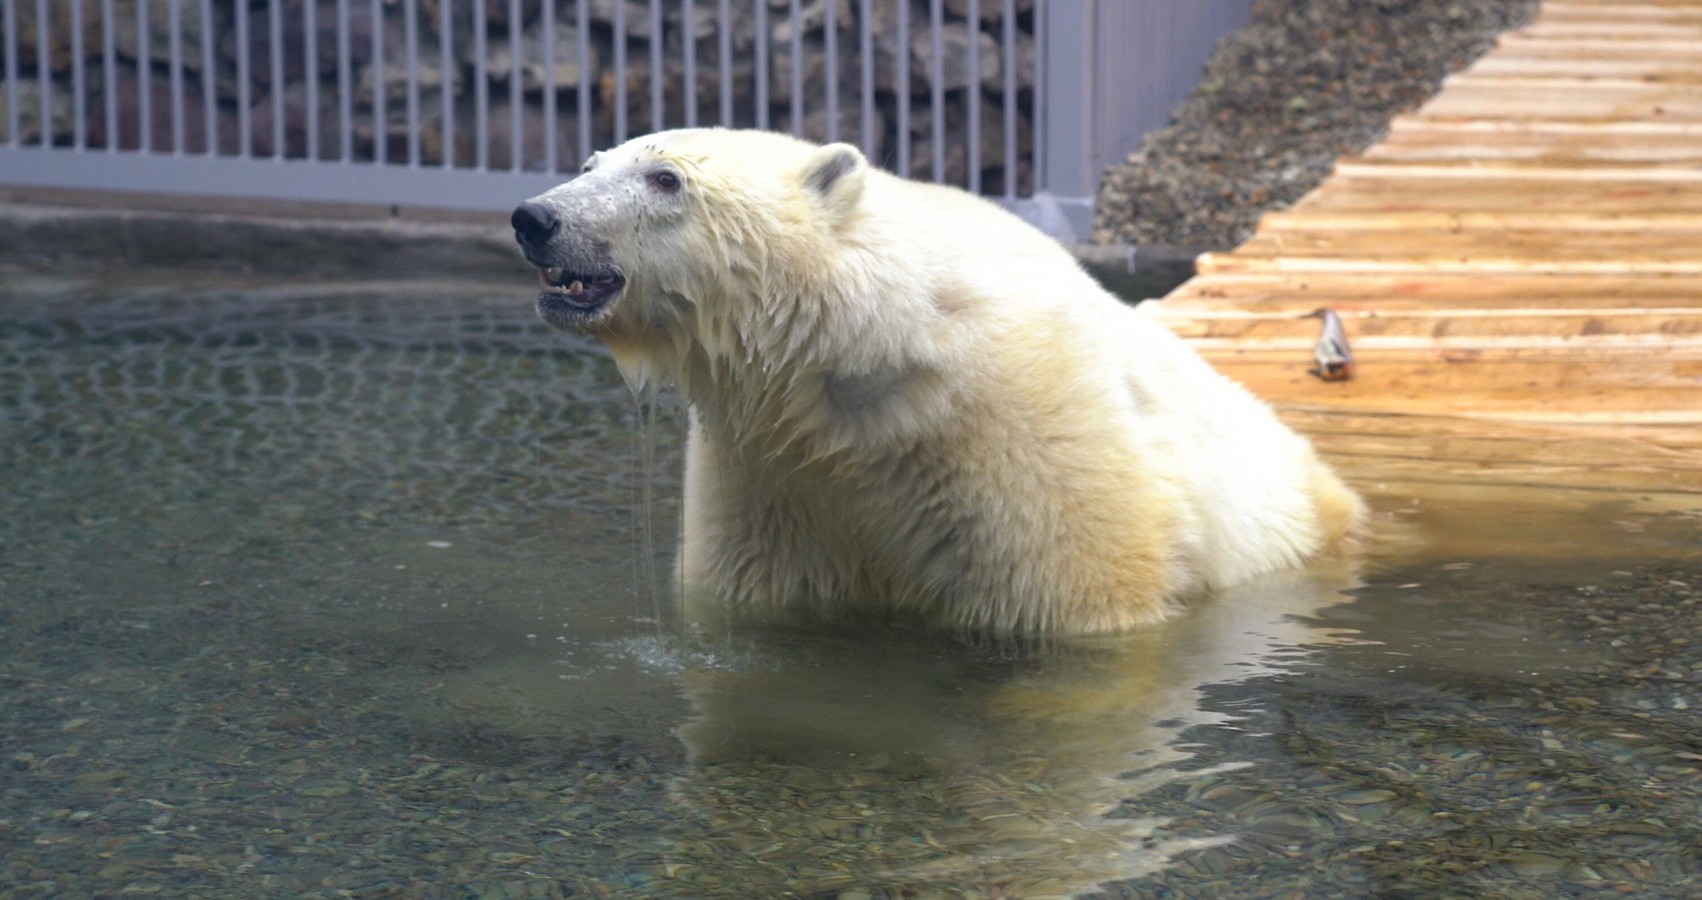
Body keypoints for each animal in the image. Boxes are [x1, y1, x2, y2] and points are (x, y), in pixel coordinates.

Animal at [510, 128, 1361, 639]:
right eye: (589, 165)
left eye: (665, 178)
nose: (535, 219)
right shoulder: (769, 463)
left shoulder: (1027, 423)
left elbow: (1079, 587)